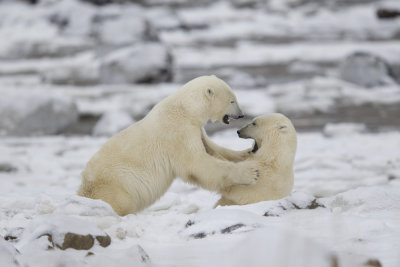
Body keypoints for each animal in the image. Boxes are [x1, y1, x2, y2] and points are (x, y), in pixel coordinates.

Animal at [77, 76, 260, 218]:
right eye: (232, 100)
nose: (241, 114)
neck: (185, 109)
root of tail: (82, 189)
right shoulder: (178, 133)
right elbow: (197, 164)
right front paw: (251, 173)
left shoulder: (195, 129)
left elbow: (213, 148)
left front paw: (246, 152)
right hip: (116, 185)